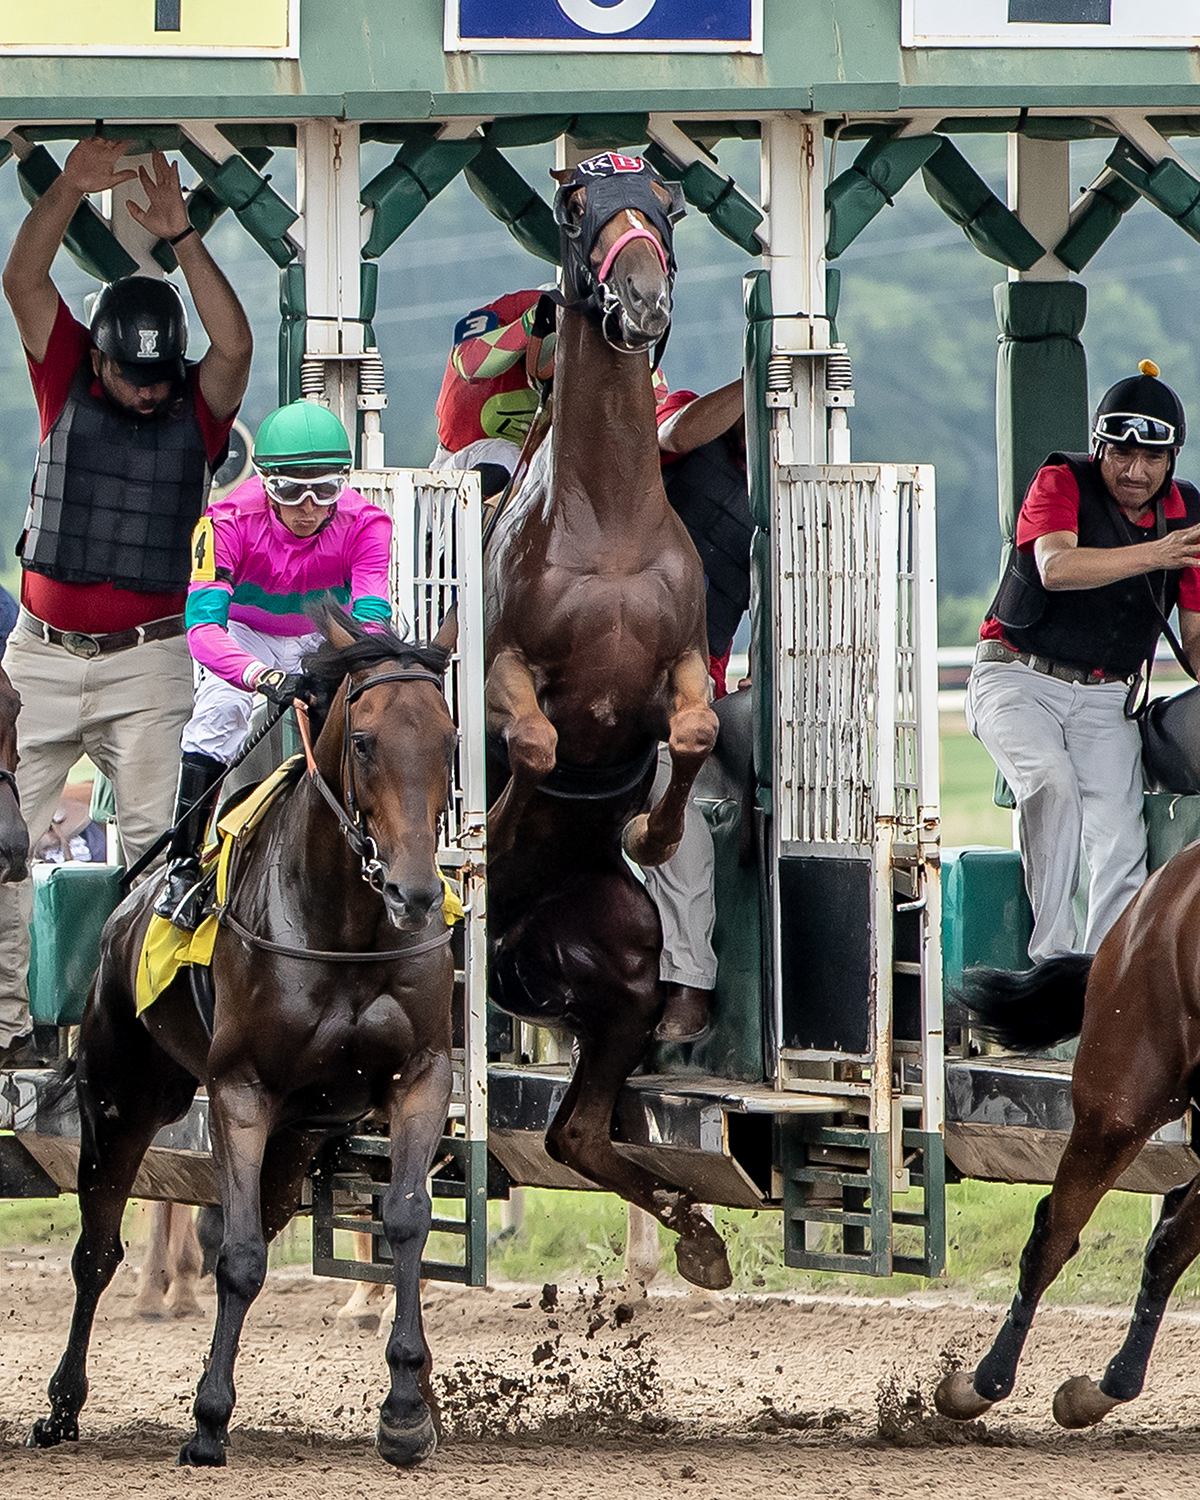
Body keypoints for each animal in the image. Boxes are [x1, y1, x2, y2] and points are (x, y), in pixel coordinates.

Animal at [29, 615, 459, 1470]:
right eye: (364, 741)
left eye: (450, 738)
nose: (417, 892)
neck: (346, 928)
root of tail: (122, 909)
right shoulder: (240, 1090)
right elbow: (237, 1255)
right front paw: (207, 1421)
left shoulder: (420, 1075)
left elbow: (403, 1220)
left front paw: (406, 1409)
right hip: (119, 1095)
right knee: (98, 1250)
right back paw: (63, 1406)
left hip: (298, 1135)